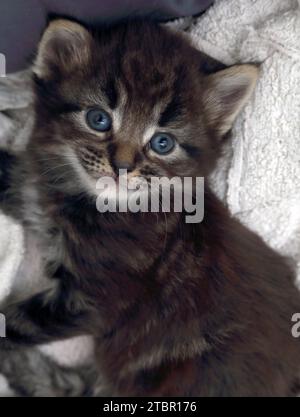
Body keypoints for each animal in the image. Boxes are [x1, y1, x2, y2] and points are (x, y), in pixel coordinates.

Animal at [0, 20, 298, 396]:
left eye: (162, 143)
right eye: (98, 119)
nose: (122, 166)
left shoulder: (91, 300)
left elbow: (14, 322)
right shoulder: (32, 190)